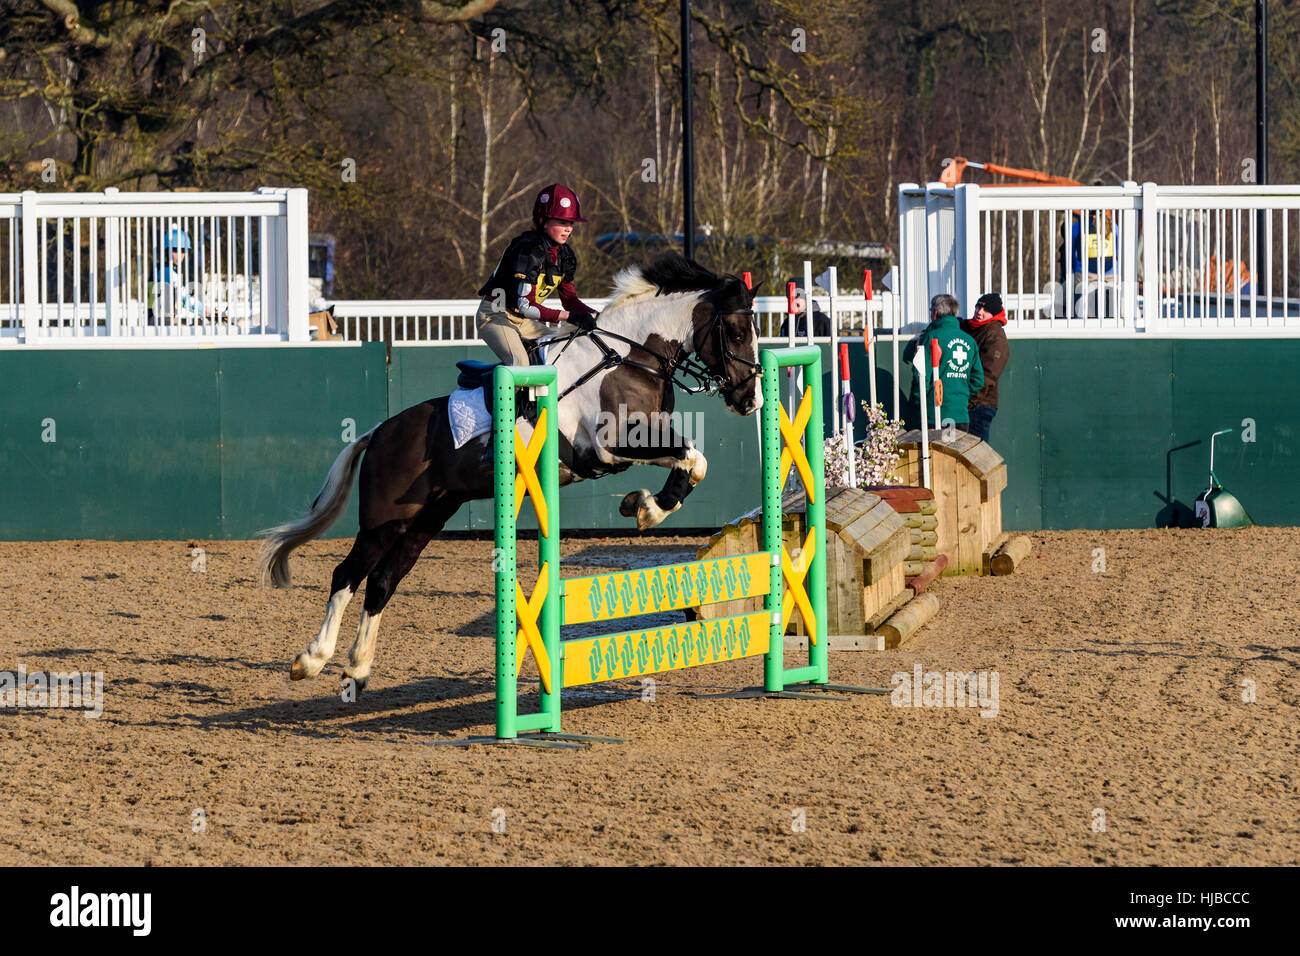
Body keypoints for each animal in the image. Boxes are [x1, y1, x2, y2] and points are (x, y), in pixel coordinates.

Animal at [254, 254, 759, 686]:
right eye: (735, 332)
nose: (749, 400)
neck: (629, 359)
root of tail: (379, 431)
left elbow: (694, 462)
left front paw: (646, 505)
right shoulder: (610, 447)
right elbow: (694, 458)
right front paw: (647, 507)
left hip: (425, 520)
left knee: (381, 582)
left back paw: (357, 668)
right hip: (384, 520)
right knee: (346, 574)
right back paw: (311, 660)